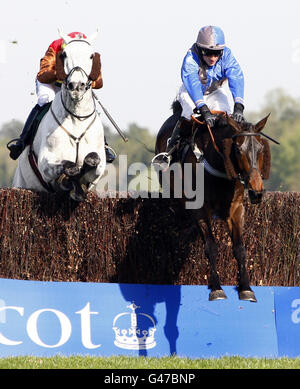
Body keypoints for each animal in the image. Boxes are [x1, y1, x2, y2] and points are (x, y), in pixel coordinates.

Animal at [12, 29, 106, 200]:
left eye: (91, 56)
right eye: (64, 54)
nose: (77, 86)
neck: (76, 118)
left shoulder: (99, 167)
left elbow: (93, 159)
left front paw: (79, 186)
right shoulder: (46, 162)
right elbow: (69, 166)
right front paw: (71, 182)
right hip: (21, 184)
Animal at [155, 101, 272, 302]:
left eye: (261, 149)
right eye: (239, 150)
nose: (256, 191)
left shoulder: (236, 208)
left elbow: (240, 248)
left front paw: (246, 288)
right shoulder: (199, 209)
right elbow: (211, 246)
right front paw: (216, 287)